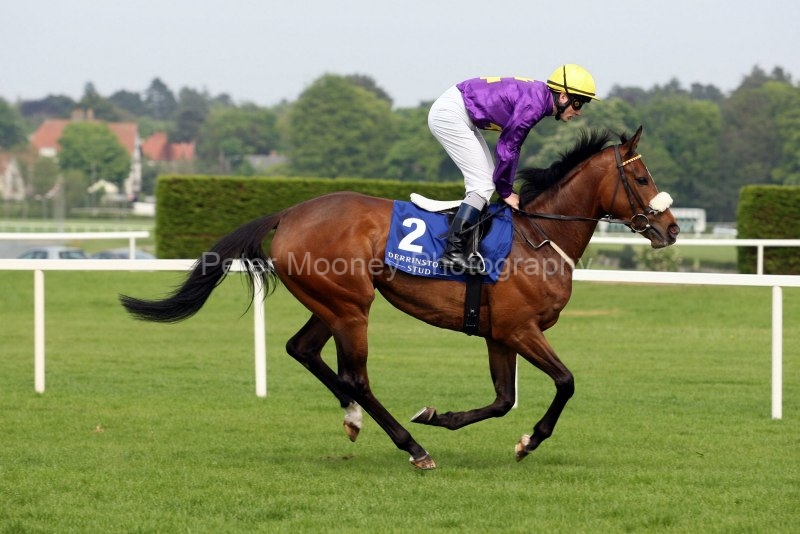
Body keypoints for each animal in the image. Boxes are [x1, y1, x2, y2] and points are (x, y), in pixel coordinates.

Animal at [120, 126, 679, 469]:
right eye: (642, 176)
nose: (672, 229)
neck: (538, 236)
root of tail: (288, 213)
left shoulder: (500, 333)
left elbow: (503, 400)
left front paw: (442, 416)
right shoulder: (521, 329)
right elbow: (565, 383)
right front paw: (527, 441)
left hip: (333, 304)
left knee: (304, 351)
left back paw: (354, 419)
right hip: (351, 307)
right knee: (356, 377)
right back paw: (412, 448)